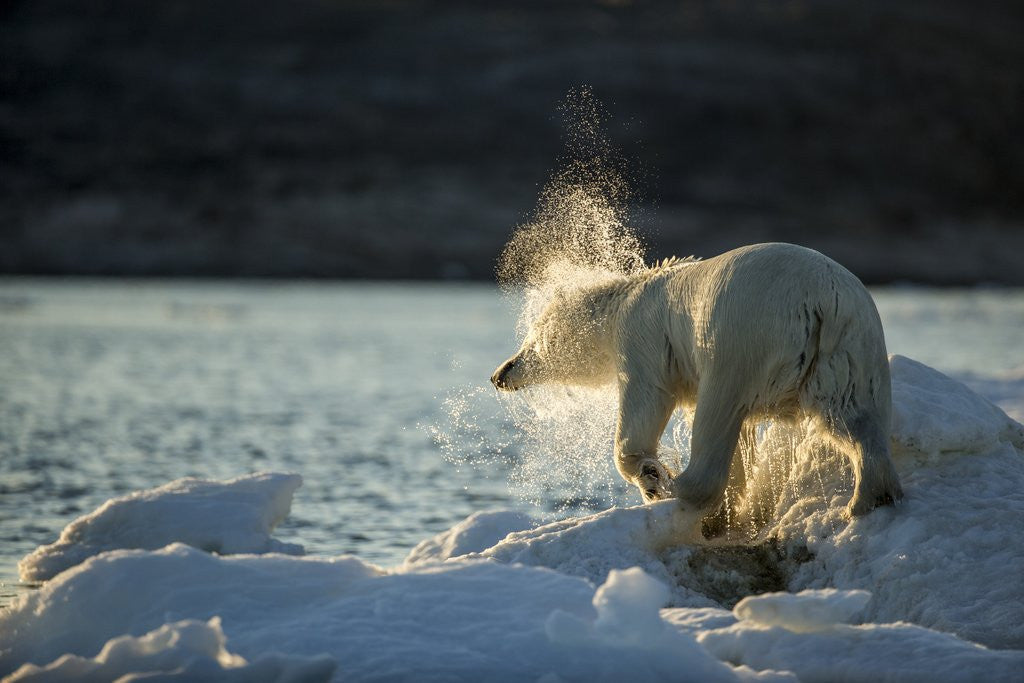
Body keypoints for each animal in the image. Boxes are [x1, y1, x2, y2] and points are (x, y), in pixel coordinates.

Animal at [491, 242, 903, 523]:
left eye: (532, 340)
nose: (500, 374)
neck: (623, 301)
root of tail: (820, 302)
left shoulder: (644, 340)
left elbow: (645, 402)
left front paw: (650, 473)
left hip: (740, 337)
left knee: (718, 413)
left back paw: (674, 486)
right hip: (849, 350)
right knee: (852, 417)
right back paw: (868, 496)